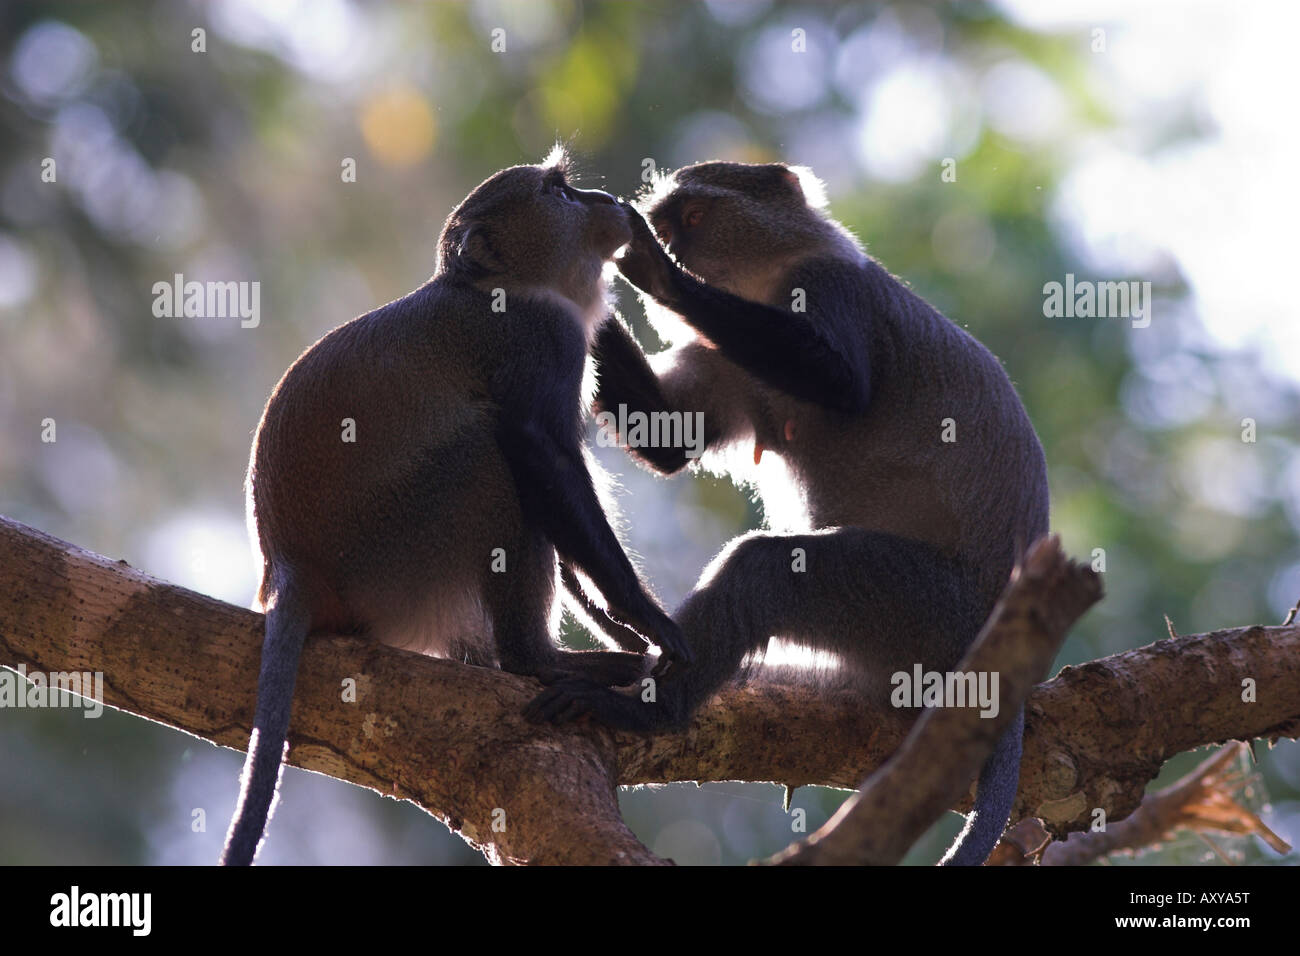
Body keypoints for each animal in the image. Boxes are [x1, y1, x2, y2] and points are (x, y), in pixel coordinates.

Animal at [220, 151, 690, 866]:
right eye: (559, 192)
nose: (605, 200)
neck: (498, 286)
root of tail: (288, 571)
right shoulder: (539, 339)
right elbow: (537, 452)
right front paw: (648, 621)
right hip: (397, 556)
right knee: (488, 459)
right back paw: (537, 661)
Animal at [525, 161, 1049, 866]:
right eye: (672, 221)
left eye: (692, 220)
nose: (673, 246)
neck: (764, 281)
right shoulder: (721, 360)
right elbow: (667, 439)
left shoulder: (828, 287)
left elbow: (840, 383)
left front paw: (658, 274)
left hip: (922, 607)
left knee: (769, 570)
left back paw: (651, 711)